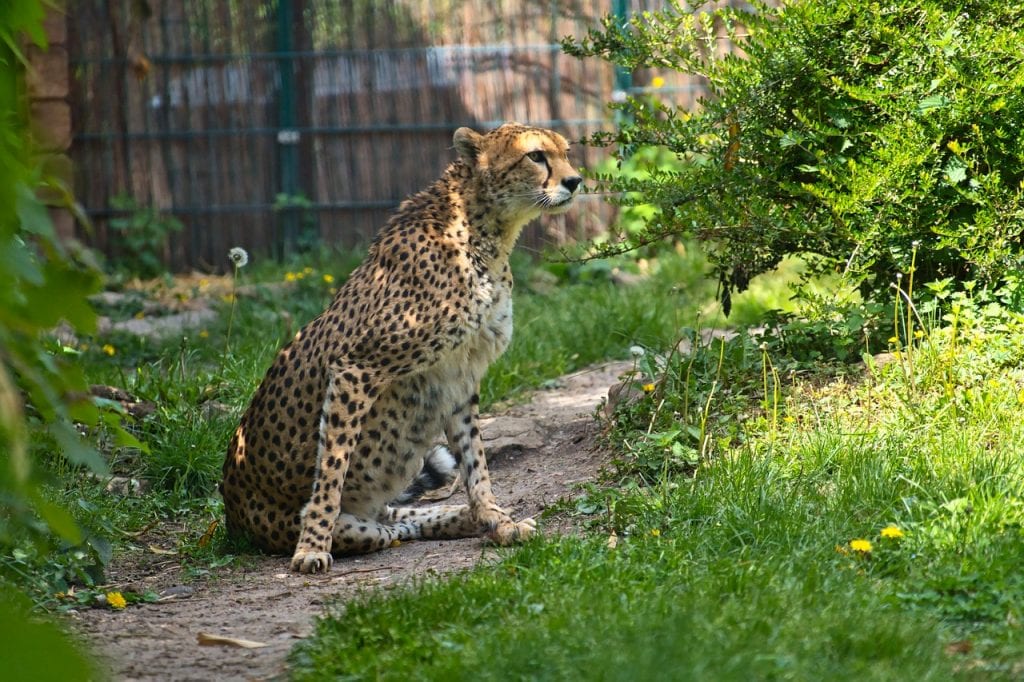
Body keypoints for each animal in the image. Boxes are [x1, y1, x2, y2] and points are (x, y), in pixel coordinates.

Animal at [220, 122, 583, 573]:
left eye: (566, 152)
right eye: (535, 156)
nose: (575, 181)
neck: (486, 232)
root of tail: (230, 507)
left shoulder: (458, 375)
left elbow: (475, 460)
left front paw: (496, 519)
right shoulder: (358, 368)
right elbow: (332, 466)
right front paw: (311, 547)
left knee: (396, 517)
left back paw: (466, 516)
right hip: (323, 522)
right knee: (378, 529)